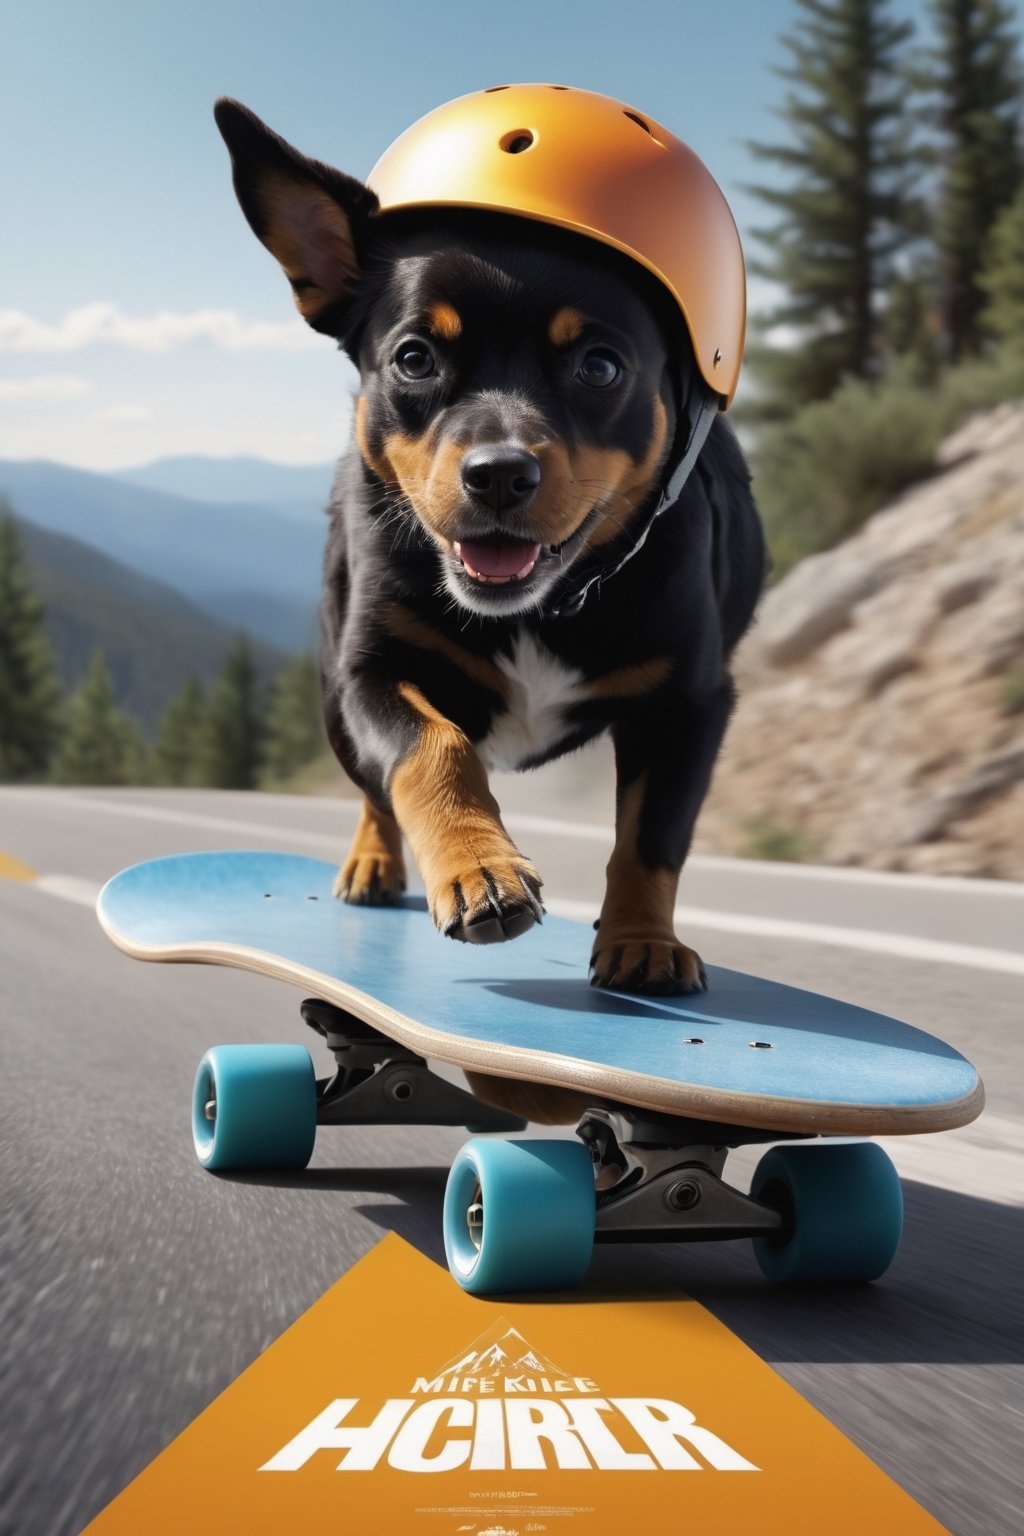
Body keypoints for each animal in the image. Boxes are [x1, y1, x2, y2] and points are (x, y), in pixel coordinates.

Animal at [211, 96, 764, 1124]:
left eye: (600, 366)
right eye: (415, 357)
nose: (499, 474)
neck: (542, 607)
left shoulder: (691, 704)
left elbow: (652, 834)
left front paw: (643, 940)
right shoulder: (374, 672)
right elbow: (431, 751)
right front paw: (479, 866)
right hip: (331, 689)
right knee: (371, 787)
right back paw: (375, 863)